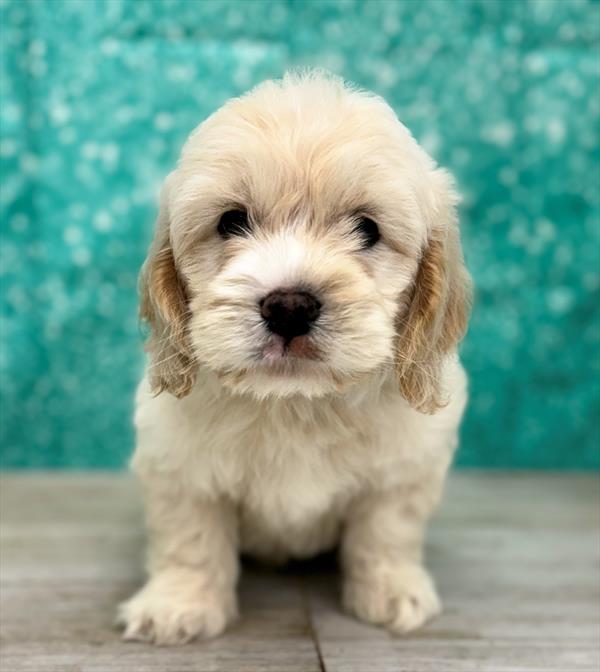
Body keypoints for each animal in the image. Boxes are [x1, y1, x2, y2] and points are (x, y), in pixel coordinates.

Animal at [118, 69, 474, 644]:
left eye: (368, 228)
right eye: (231, 221)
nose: (289, 306)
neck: (296, 402)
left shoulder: (402, 471)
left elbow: (387, 533)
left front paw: (391, 590)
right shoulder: (179, 465)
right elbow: (190, 538)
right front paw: (178, 604)